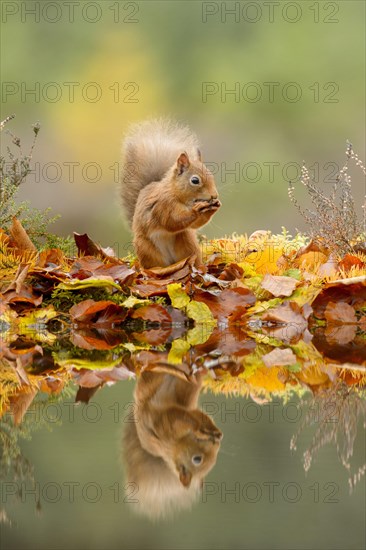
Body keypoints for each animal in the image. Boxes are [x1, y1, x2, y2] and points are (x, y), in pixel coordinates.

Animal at [120, 118, 220, 270]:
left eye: (212, 175)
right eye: (195, 180)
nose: (214, 195)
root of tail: (171, 262)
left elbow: (194, 225)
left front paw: (214, 207)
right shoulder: (162, 206)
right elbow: (172, 222)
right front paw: (196, 210)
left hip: (187, 241)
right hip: (145, 248)